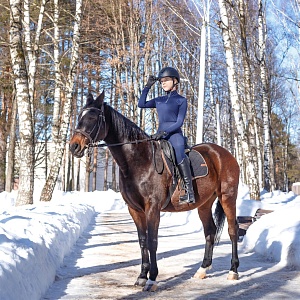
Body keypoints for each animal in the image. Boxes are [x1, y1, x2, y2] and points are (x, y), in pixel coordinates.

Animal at [69, 91, 240, 290]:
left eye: (93, 118)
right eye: (80, 117)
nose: (74, 146)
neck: (139, 160)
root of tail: (223, 153)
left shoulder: (153, 208)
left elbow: (152, 241)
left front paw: (152, 278)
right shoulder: (135, 210)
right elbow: (142, 241)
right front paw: (142, 276)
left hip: (228, 197)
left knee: (233, 230)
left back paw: (233, 271)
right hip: (204, 203)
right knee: (210, 231)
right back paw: (202, 269)